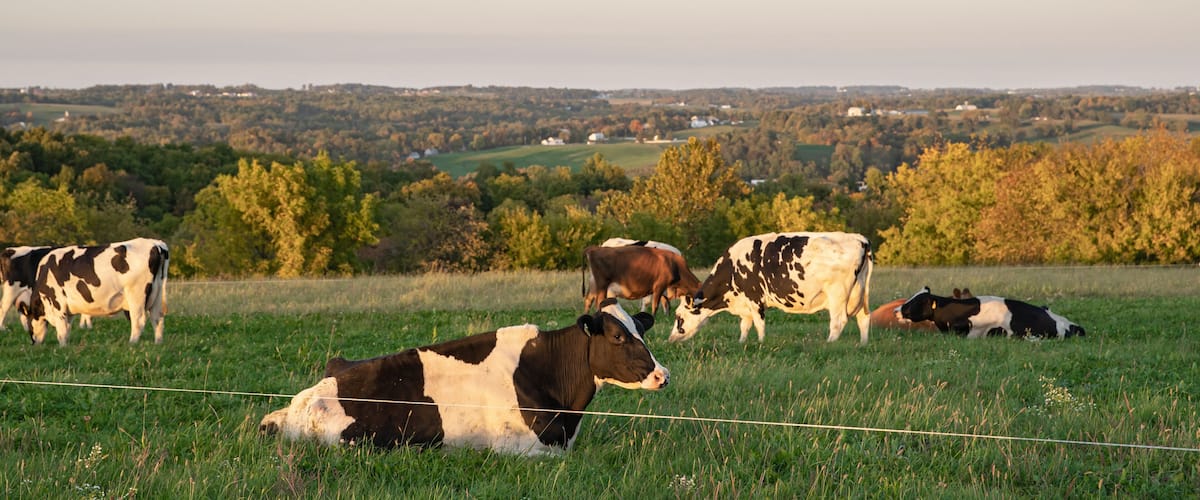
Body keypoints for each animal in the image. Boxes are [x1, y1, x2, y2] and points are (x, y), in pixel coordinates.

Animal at [18, 238, 169, 345]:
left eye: (29, 325)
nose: (33, 343)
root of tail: (156, 244)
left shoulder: (57, 303)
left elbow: (61, 330)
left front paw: (62, 347)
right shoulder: (68, 310)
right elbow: (67, 329)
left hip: (136, 295)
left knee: (138, 320)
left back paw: (132, 343)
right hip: (157, 294)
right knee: (157, 318)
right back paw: (158, 343)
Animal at [670, 232, 873, 344]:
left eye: (679, 317)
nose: (670, 339)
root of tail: (859, 238)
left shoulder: (754, 298)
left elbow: (759, 325)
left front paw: (761, 343)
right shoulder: (745, 305)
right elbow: (745, 325)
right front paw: (741, 342)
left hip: (838, 294)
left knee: (838, 321)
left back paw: (828, 343)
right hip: (861, 293)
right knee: (864, 318)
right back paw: (863, 344)